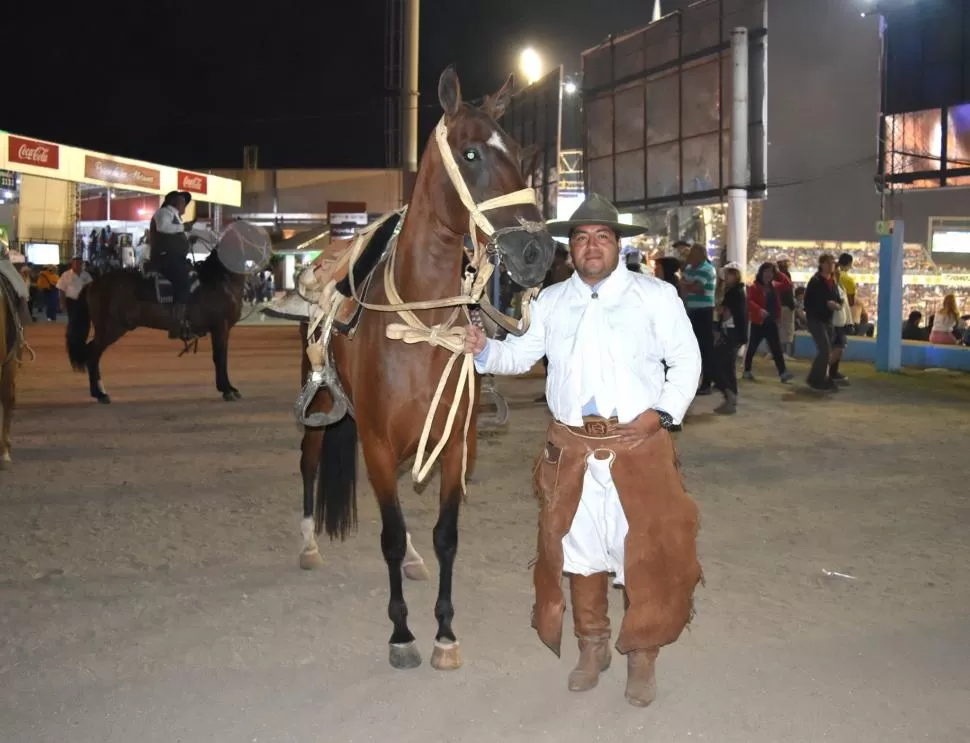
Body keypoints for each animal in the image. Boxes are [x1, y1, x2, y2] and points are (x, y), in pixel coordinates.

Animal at [65, 248, 246, 402]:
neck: (219, 280)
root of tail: (93, 283)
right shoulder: (220, 327)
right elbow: (220, 358)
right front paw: (226, 390)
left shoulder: (224, 330)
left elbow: (222, 357)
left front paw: (230, 388)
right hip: (110, 330)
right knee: (92, 354)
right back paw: (100, 394)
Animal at [294, 68, 552, 676]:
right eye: (472, 152)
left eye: (522, 157)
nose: (536, 251)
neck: (422, 326)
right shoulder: (377, 440)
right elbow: (388, 533)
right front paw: (402, 632)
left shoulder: (455, 443)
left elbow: (445, 534)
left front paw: (445, 631)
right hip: (323, 405)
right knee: (310, 464)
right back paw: (309, 543)